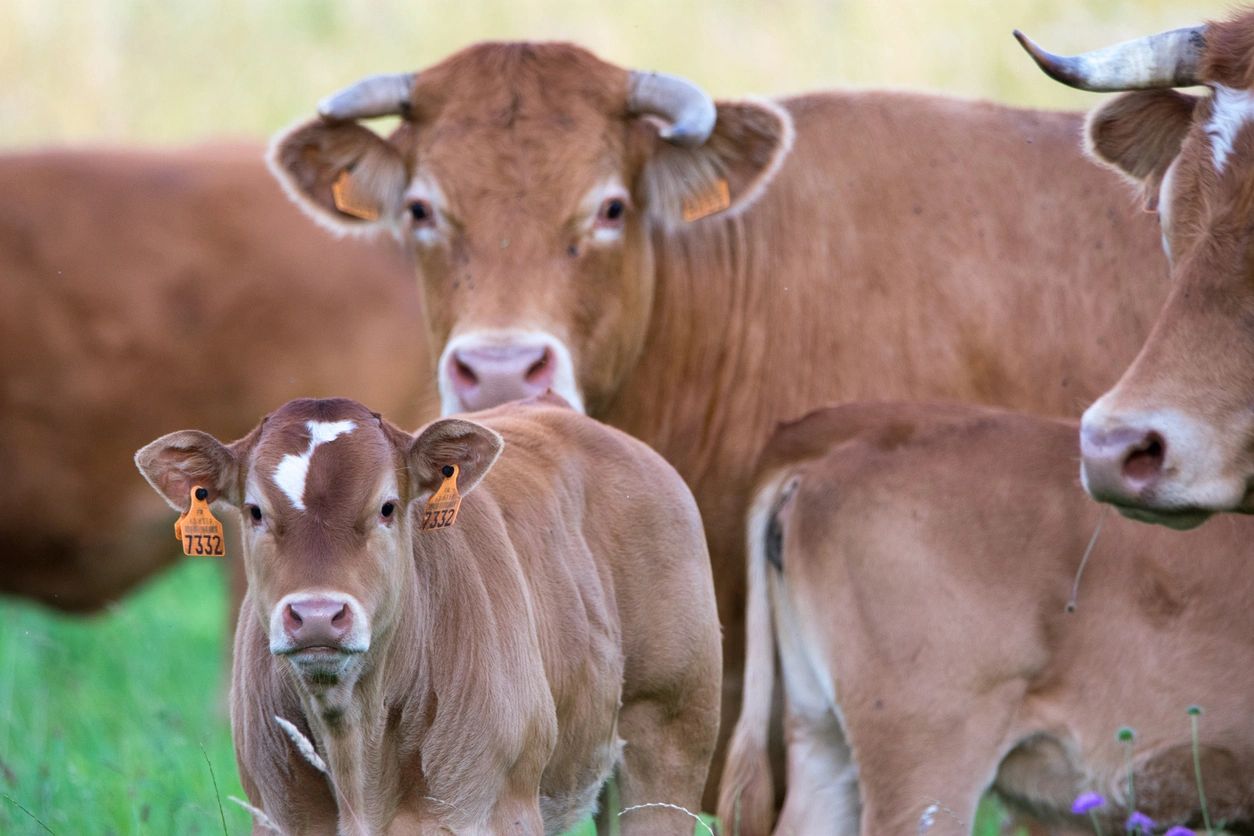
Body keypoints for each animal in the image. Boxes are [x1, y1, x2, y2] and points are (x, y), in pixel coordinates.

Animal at [133, 398, 722, 836]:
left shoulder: (496, 810)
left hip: (668, 737)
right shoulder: (278, 815)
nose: (318, 615)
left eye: (388, 507)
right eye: (255, 511)